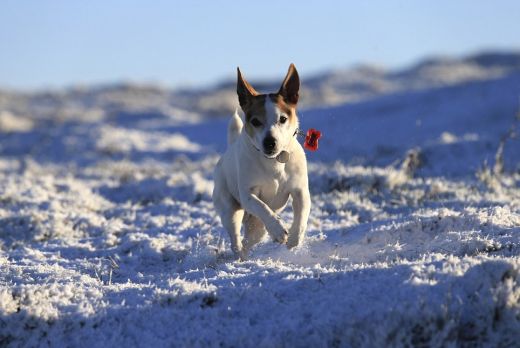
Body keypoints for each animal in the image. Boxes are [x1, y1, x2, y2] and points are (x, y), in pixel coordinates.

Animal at [212, 64, 310, 260]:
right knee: (236, 239)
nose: (270, 142)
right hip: (230, 209)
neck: (274, 162)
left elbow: (302, 215)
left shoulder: (300, 190)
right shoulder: (248, 195)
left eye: (283, 119)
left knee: (250, 238)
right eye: (255, 121)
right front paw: (278, 229)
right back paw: (240, 256)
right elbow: (262, 207)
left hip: (256, 228)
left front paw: (293, 239)